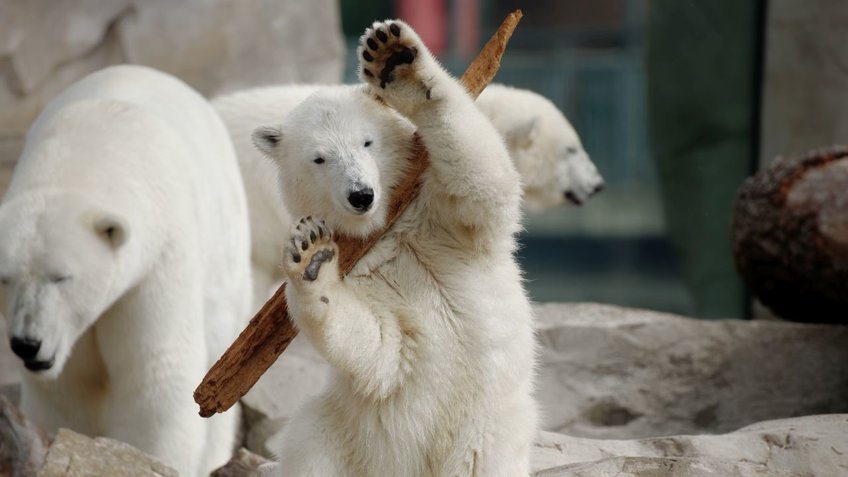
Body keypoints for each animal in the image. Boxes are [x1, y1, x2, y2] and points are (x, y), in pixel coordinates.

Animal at [0, 64, 252, 476]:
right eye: (5, 278)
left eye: (61, 276)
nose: (26, 343)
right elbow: (67, 386)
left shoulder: (158, 260)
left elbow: (155, 376)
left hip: (224, 249)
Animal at [248, 19, 536, 476]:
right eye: (319, 158)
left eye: (367, 142)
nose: (361, 194)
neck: (388, 231)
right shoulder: (363, 272)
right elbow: (383, 349)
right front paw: (312, 255)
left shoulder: (441, 221)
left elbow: (484, 188)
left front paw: (396, 63)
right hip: (343, 430)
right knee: (310, 448)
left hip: (488, 434)